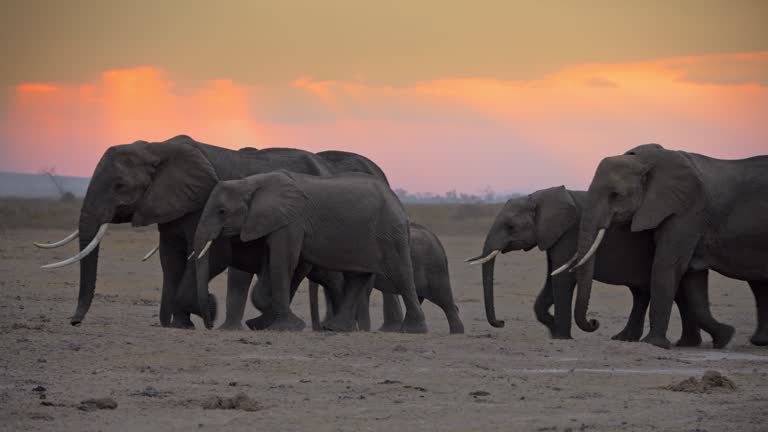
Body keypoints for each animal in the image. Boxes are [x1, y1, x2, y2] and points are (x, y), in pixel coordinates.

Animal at [36, 135, 360, 328]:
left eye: (120, 186)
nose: (74, 321)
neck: (156, 147)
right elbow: (170, 260)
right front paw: (179, 323)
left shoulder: (203, 202)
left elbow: (205, 255)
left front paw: (206, 311)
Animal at [192, 170, 428, 332]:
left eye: (222, 211)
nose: (209, 323)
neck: (252, 182)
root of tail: (398, 203)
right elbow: (280, 263)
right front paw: (263, 323)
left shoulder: (292, 221)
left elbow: (283, 261)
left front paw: (284, 327)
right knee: (357, 277)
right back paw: (335, 328)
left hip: (389, 232)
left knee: (401, 274)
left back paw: (413, 330)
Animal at [308, 223, 464, 334]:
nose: (318, 328)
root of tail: (437, 241)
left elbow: (360, 289)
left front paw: (361, 329)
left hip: (435, 269)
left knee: (444, 300)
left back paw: (456, 332)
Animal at [468, 186, 732, 348]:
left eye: (511, 227)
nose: (501, 323)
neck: (539, 197)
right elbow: (551, 279)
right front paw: (553, 329)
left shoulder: (570, 234)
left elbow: (563, 279)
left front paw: (561, 336)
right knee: (654, 293)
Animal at [564, 143, 768, 350]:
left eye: (616, 195)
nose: (593, 322)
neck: (645, 161)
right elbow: (692, 278)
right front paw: (724, 336)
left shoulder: (688, 211)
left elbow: (666, 266)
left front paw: (653, 343)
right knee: (759, 284)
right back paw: (758, 341)